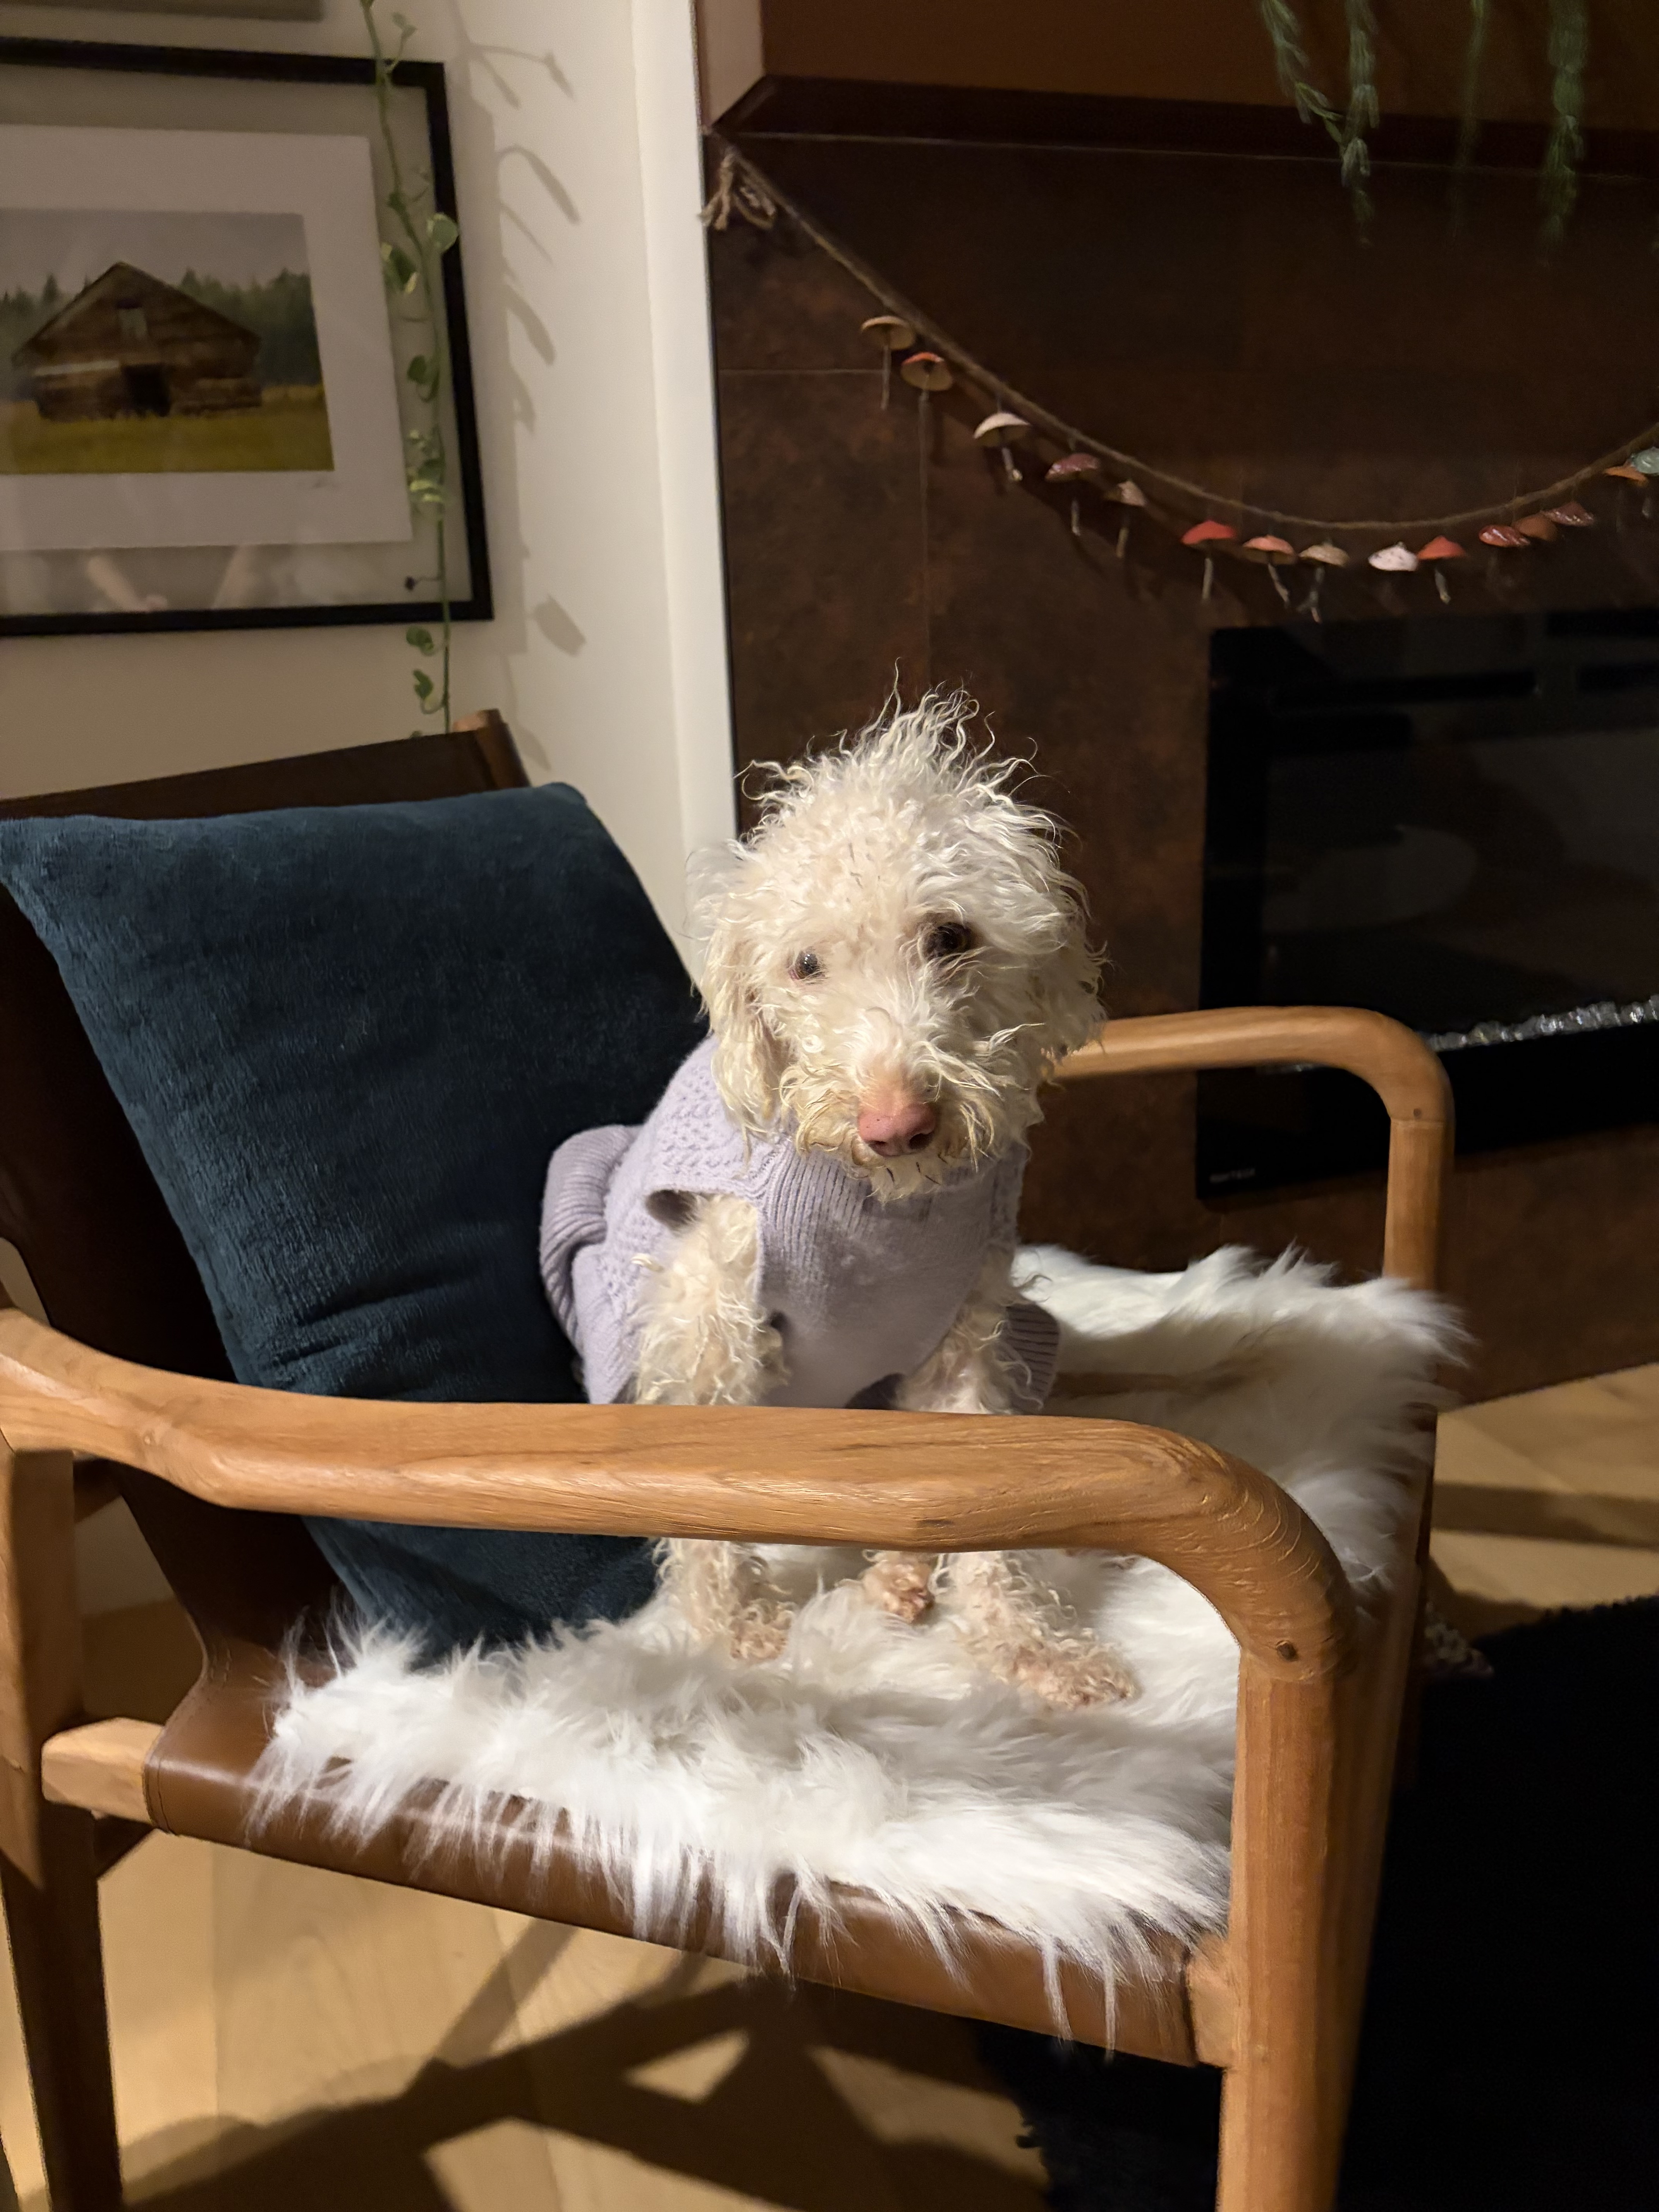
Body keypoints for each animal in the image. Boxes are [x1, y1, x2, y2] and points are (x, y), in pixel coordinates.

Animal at [541, 695, 1135, 1707]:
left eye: (951, 937)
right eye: (806, 965)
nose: (896, 1126)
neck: (880, 1206)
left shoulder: (962, 1338)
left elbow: (978, 1508)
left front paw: (1029, 1647)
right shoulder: (706, 1325)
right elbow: (703, 1499)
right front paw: (733, 1625)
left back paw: (900, 1574)